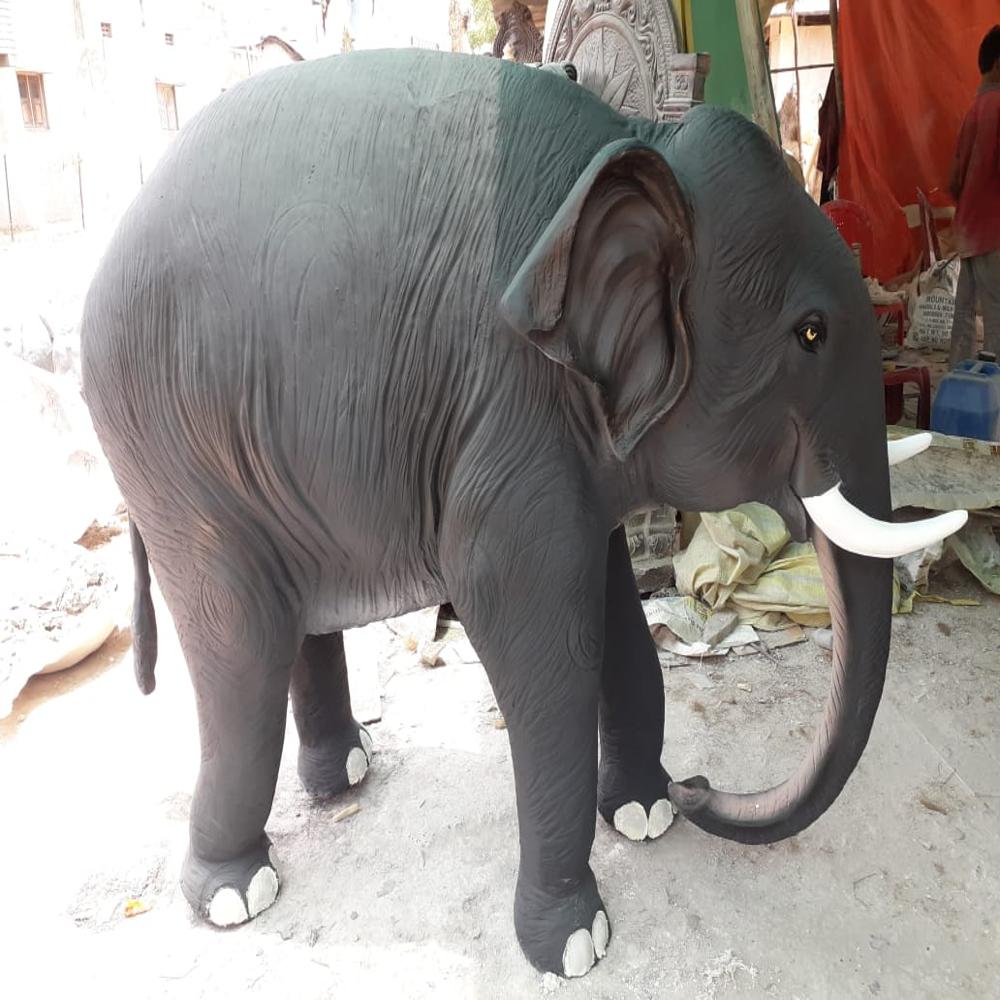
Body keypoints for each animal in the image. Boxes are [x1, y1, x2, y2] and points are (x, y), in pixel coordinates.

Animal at [80, 49, 965, 977]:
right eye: (810, 333)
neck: (636, 148)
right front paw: (574, 943)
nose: (699, 789)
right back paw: (233, 892)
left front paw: (643, 814)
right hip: (167, 448)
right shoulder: (510, 408)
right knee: (238, 637)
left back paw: (346, 773)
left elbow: (613, 612)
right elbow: (538, 641)